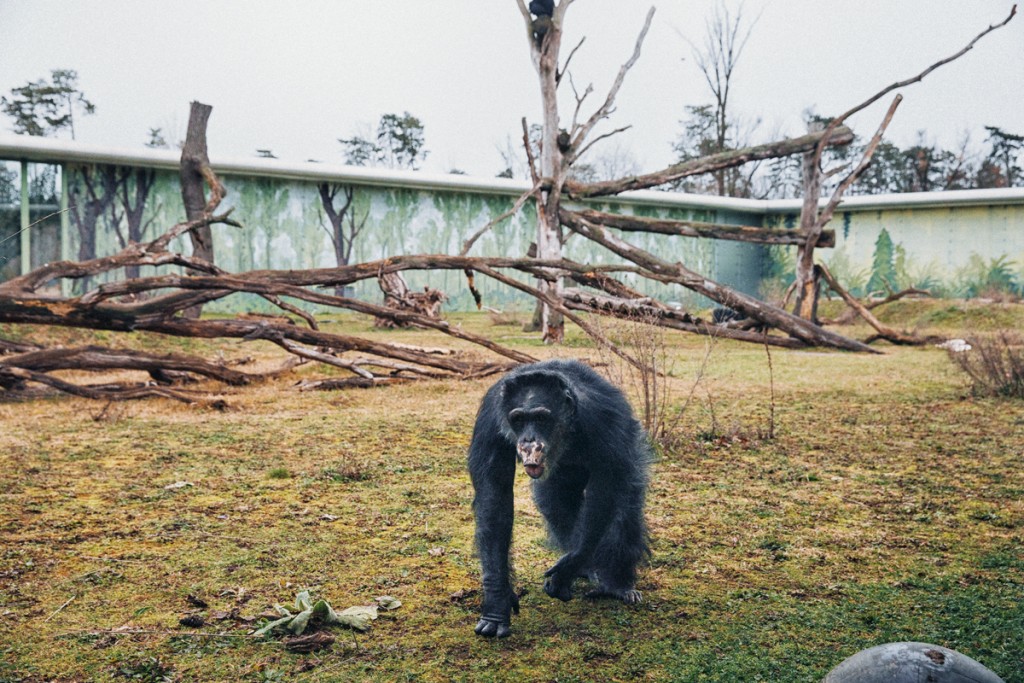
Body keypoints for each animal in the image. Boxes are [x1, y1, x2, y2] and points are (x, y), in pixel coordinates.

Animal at [464, 360, 647, 638]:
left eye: (540, 417)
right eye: (518, 419)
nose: (528, 440)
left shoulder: (603, 418)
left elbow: (605, 486)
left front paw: (571, 564)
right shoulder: (490, 420)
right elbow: (494, 496)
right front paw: (497, 600)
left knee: (625, 511)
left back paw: (617, 584)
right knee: (557, 506)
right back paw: (587, 569)